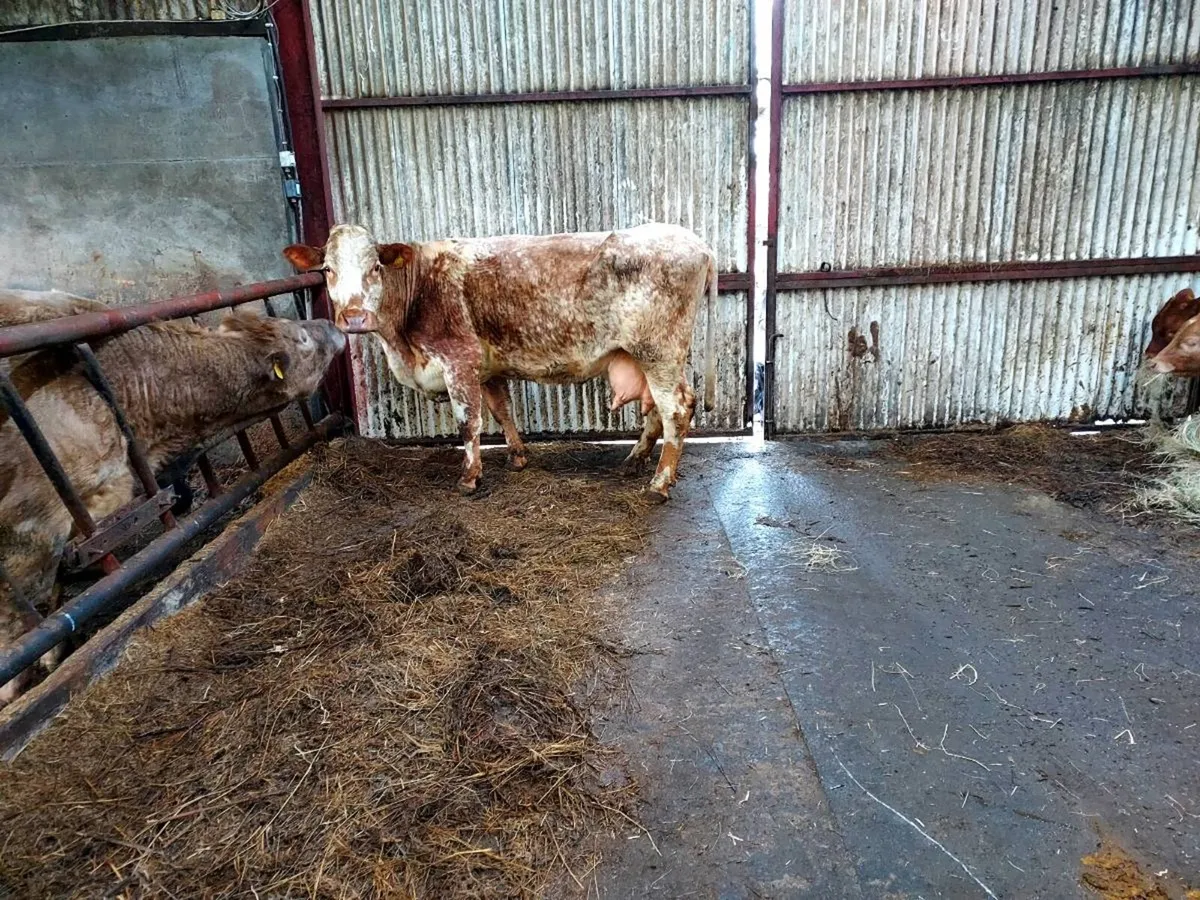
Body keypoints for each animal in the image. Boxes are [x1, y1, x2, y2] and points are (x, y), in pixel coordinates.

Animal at [283, 223, 717, 501]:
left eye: (375, 266)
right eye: (327, 269)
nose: (354, 317)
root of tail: (696, 242)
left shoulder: (458, 359)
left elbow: (468, 422)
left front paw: (470, 477)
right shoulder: (487, 368)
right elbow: (502, 410)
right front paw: (517, 456)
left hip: (658, 351)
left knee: (676, 408)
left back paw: (659, 484)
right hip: (649, 357)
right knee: (657, 410)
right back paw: (634, 461)